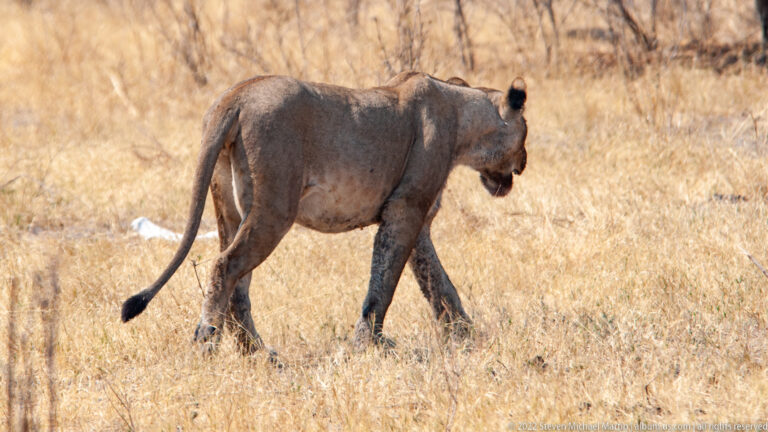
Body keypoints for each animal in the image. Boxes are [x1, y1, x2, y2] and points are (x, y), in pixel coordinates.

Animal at [121, 71, 528, 354]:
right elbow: (384, 283)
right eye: (525, 134)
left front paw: (464, 334)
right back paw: (208, 343)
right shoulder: (405, 209)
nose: (524, 165)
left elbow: (438, 284)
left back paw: (259, 355)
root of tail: (237, 94)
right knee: (225, 266)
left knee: (237, 282)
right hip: (274, 207)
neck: (461, 119)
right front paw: (368, 345)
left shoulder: (418, 222)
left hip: (230, 212)